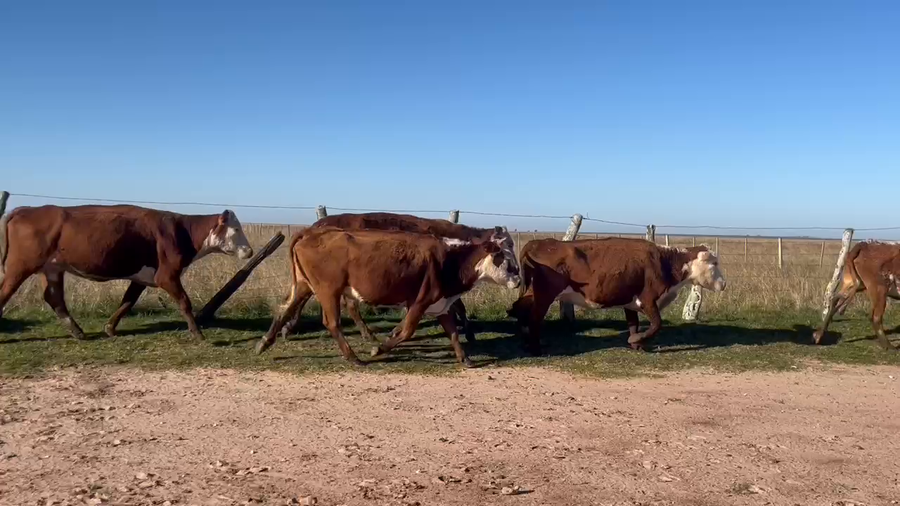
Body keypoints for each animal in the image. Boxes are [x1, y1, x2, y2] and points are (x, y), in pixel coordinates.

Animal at [0, 204, 253, 339]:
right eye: (236, 229)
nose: (250, 251)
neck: (182, 231)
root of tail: (27, 209)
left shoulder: (142, 277)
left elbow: (127, 301)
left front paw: (110, 328)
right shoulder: (167, 275)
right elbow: (184, 301)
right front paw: (197, 333)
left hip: (52, 268)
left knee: (54, 298)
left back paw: (78, 331)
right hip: (19, 267)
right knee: (6, 292)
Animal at [255, 226, 521, 367]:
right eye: (504, 257)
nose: (519, 279)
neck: (451, 259)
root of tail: (311, 232)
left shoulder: (441, 304)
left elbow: (453, 333)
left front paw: (464, 358)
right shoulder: (419, 302)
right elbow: (407, 331)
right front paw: (379, 349)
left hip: (304, 285)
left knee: (284, 309)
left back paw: (264, 342)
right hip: (328, 290)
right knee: (331, 323)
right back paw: (353, 357)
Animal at [279, 212, 515, 343]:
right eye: (507, 247)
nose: (517, 273)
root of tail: (313, 228)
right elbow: (459, 306)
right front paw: (470, 333)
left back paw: (287, 327)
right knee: (347, 305)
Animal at [507, 237, 726, 355]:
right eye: (714, 263)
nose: (724, 283)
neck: (663, 262)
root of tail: (538, 243)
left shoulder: (630, 303)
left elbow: (633, 324)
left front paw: (637, 345)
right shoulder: (648, 300)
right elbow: (656, 324)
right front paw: (636, 340)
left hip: (532, 293)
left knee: (519, 310)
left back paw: (526, 341)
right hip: (544, 296)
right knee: (534, 318)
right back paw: (536, 348)